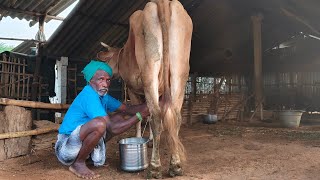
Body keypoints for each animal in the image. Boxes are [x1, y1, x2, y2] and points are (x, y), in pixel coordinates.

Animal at [97, 0, 192, 177]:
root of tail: (163, 2)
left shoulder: (133, 90)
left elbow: (141, 118)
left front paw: (142, 139)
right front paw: (151, 141)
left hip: (150, 69)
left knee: (156, 116)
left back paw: (154, 168)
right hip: (180, 72)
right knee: (175, 115)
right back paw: (175, 165)